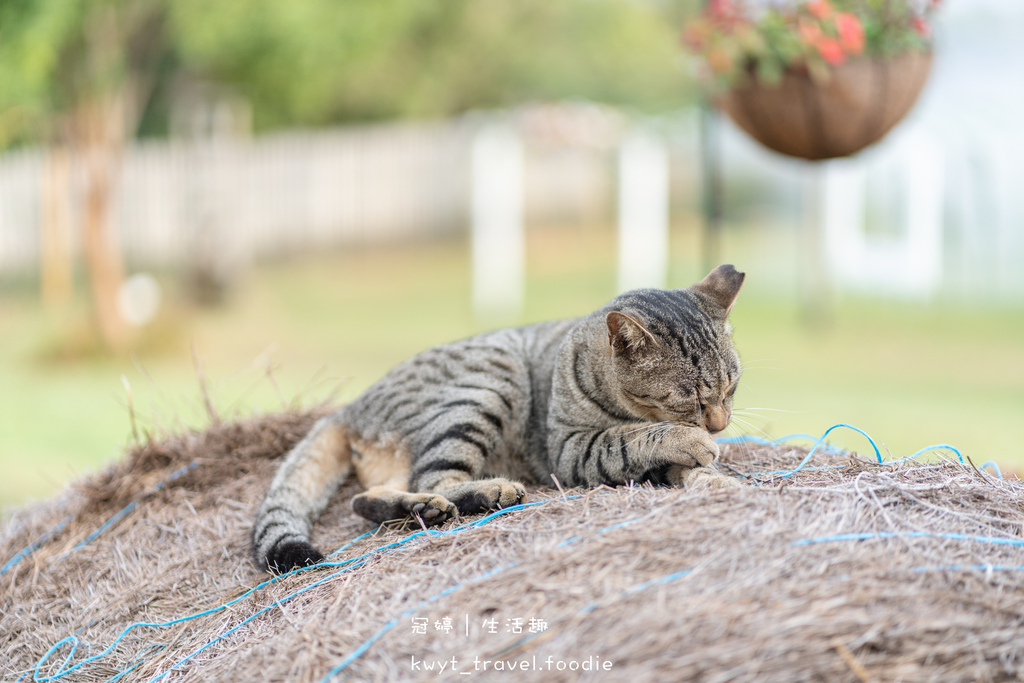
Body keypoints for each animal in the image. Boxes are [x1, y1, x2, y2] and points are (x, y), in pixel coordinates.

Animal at [247, 264, 745, 573]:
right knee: (433, 478)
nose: (719, 424)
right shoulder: (571, 450)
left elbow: (686, 469)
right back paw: (486, 492)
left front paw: (718, 482)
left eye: (731, 388)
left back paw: (419, 508)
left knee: (368, 498)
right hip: (489, 384)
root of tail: (349, 406)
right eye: (687, 401)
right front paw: (694, 445)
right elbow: (633, 437)